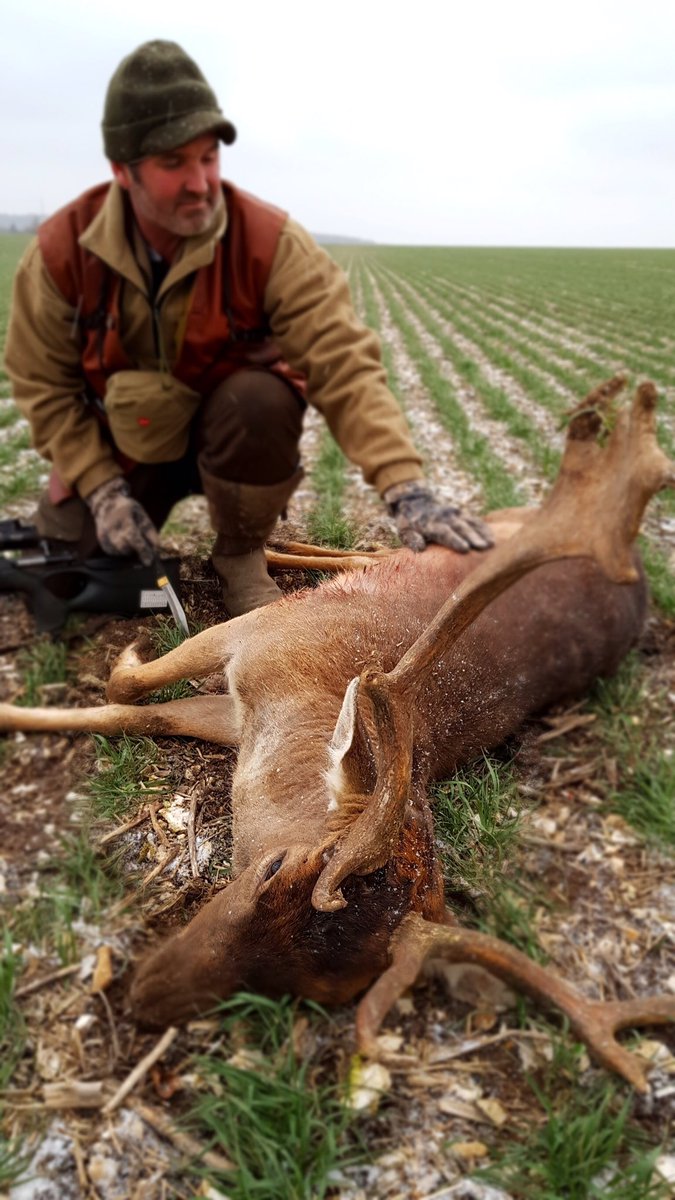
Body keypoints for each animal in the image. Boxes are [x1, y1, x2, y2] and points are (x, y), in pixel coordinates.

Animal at [2, 376, 674, 1093]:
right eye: (271, 870)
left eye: (314, 992)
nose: (143, 999)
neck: (306, 707)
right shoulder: (257, 636)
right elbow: (125, 689)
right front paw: (88, 671)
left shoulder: (244, 710)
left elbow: (135, 712)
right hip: (491, 525)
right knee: (365, 551)